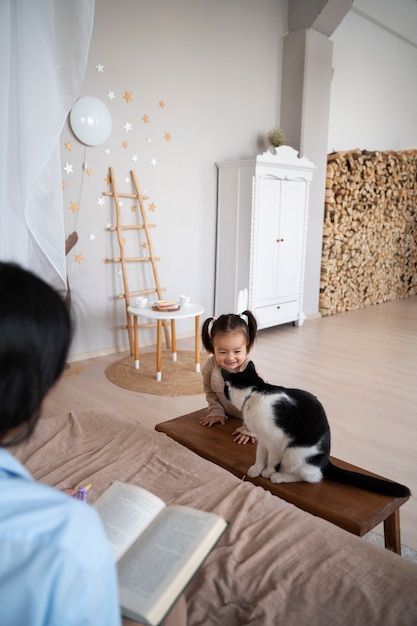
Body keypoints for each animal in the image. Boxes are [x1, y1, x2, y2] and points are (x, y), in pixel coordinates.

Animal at [221, 360, 410, 498]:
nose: (223, 391)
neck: (254, 392)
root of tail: (326, 460)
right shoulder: (262, 438)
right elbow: (260, 455)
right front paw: (256, 469)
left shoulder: (275, 441)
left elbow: (272, 460)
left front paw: (267, 472)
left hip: (294, 452)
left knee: (312, 477)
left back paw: (279, 476)